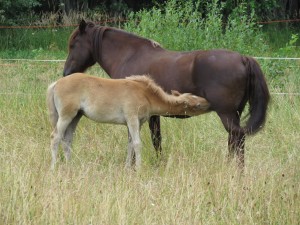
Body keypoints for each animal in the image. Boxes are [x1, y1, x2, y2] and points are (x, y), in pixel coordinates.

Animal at [62, 19, 270, 167]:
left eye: (73, 45)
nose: (66, 73)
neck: (129, 55)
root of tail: (243, 58)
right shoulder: (153, 114)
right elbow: (156, 139)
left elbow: (140, 140)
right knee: (234, 141)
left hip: (227, 114)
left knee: (237, 140)